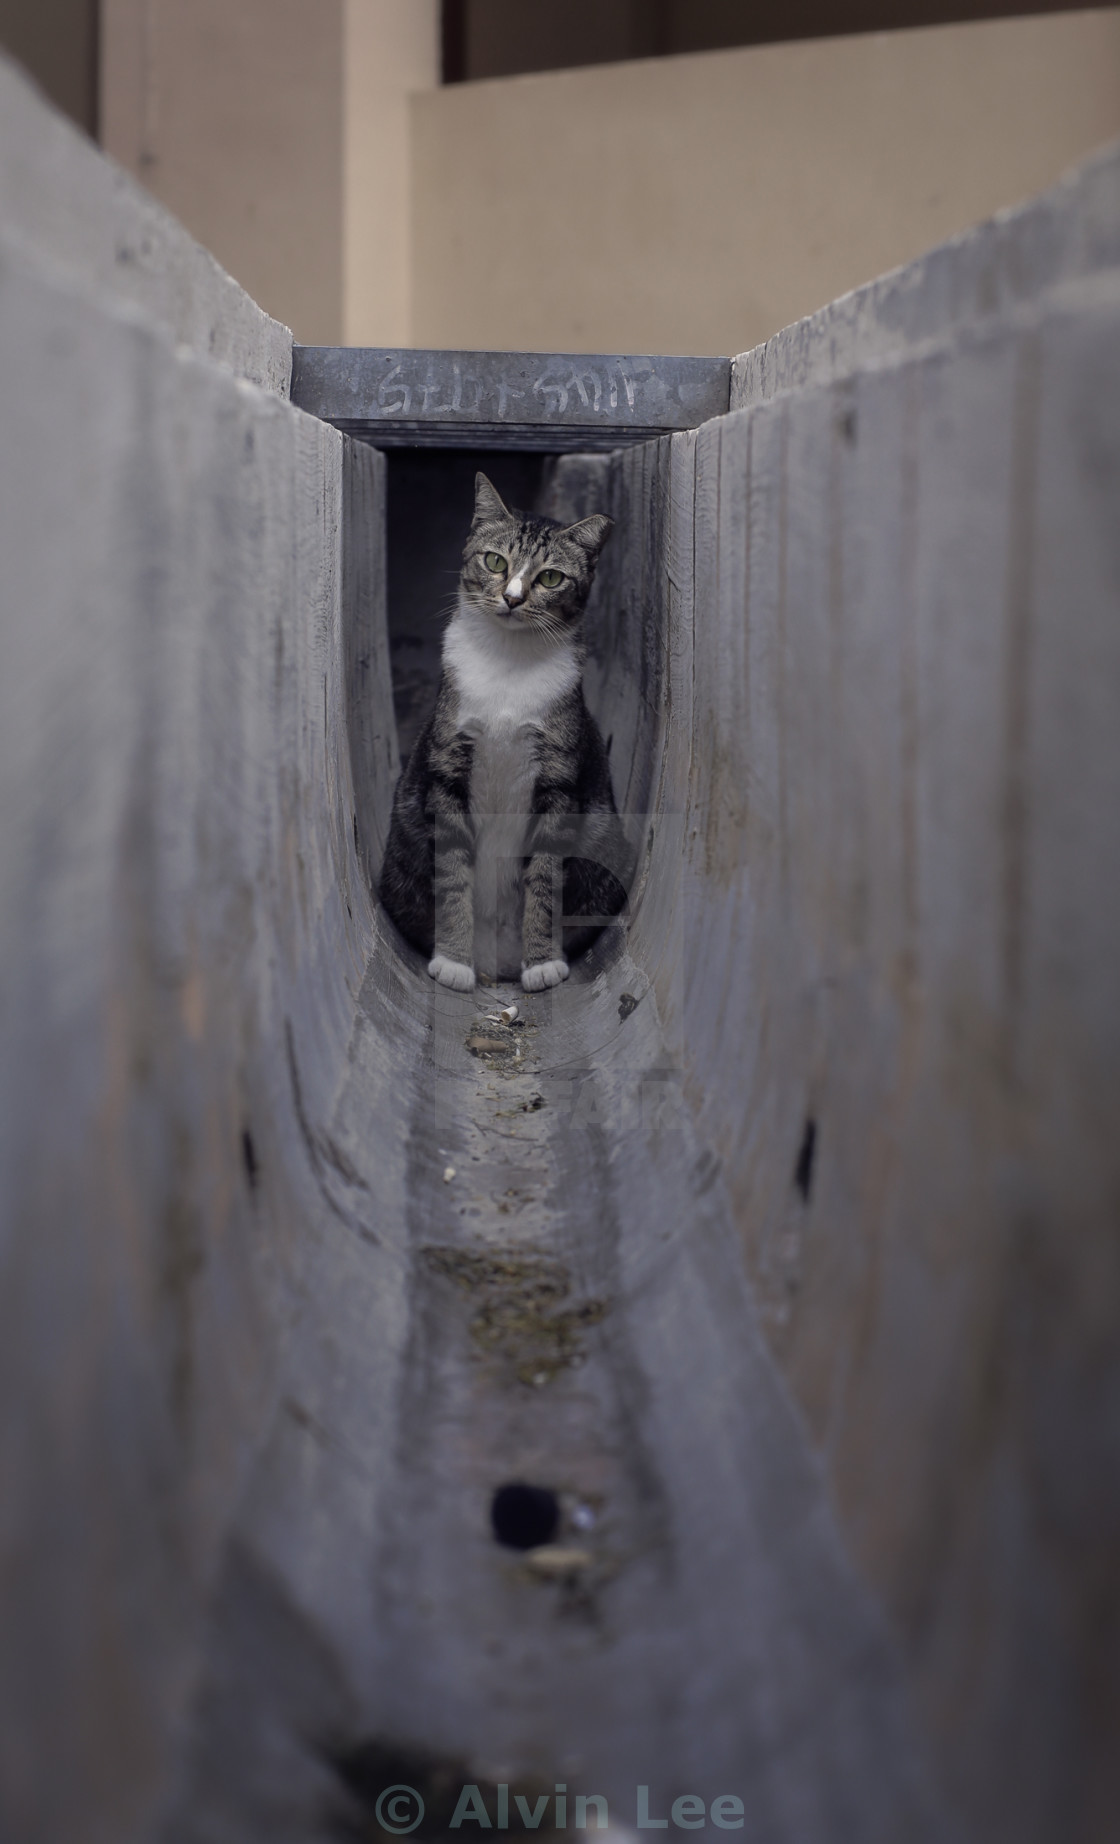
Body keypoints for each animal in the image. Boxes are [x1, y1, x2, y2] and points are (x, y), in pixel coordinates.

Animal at [381, 475, 631, 995]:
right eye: (495, 561)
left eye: (551, 578)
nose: (513, 598)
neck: (507, 662)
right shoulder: (449, 771)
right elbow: (453, 872)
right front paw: (453, 962)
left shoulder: (557, 783)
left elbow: (545, 880)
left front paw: (542, 964)